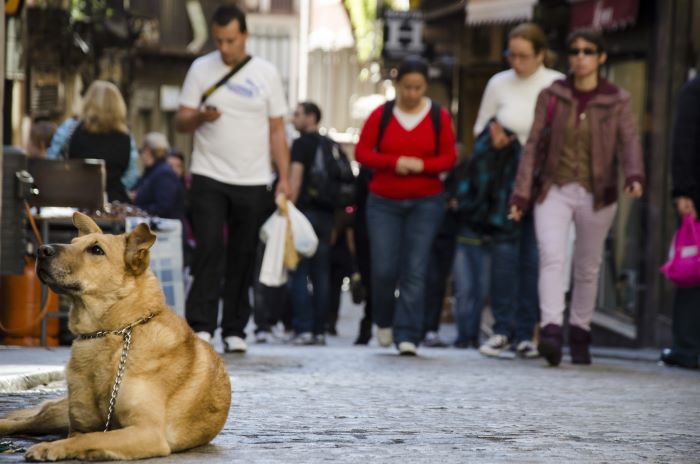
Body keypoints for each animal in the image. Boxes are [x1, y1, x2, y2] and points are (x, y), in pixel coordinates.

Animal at [0, 214, 231, 460]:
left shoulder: (147, 432)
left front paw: (52, 447)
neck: (111, 333)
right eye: (72, 242)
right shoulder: (80, 424)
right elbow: (82, 436)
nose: (42, 250)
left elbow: (91, 438)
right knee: (24, 420)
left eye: (96, 250)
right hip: (58, 415)